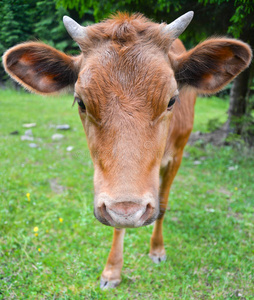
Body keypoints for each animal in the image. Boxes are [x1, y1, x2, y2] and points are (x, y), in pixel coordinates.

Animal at [2, 11, 252, 288]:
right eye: (81, 102)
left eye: (172, 100)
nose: (131, 211)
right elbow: (117, 222)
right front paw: (112, 271)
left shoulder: (176, 157)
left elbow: (162, 205)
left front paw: (157, 250)